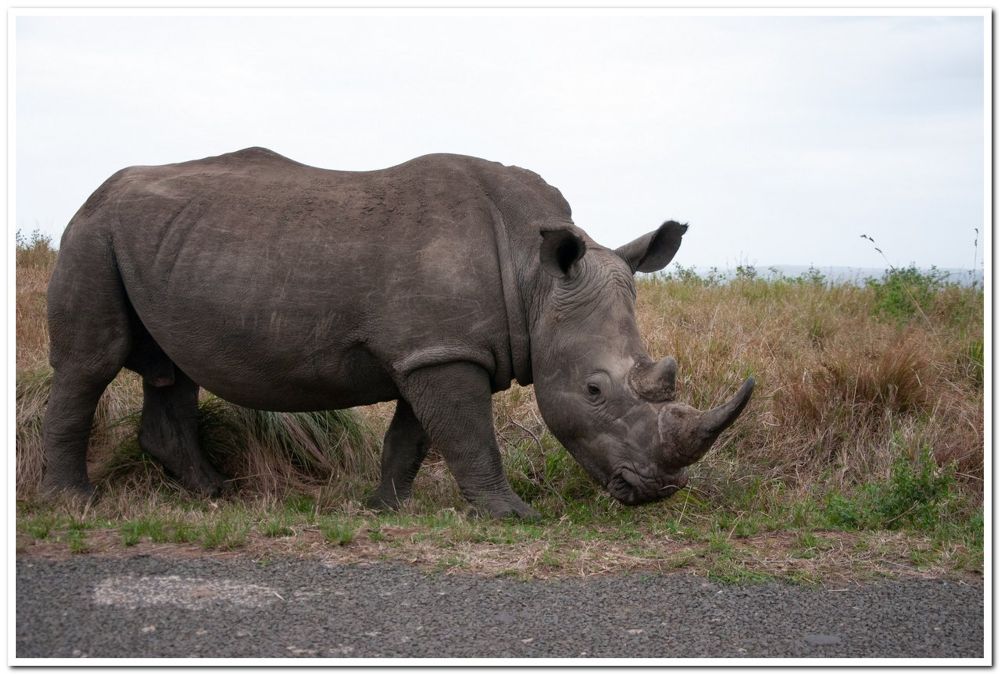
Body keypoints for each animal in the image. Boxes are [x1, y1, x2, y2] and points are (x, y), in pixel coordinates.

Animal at [41, 147, 753, 518]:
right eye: (595, 390)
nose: (657, 492)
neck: (534, 276)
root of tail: (95, 193)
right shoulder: (443, 352)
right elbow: (468, 436)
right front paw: (512, 516)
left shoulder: (432, 350)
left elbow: (414, 437)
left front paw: (386, 509)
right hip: (90, 232)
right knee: (90, 363)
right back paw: (75, 504)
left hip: (161, 245)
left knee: (172, 368)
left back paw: (217, 497)